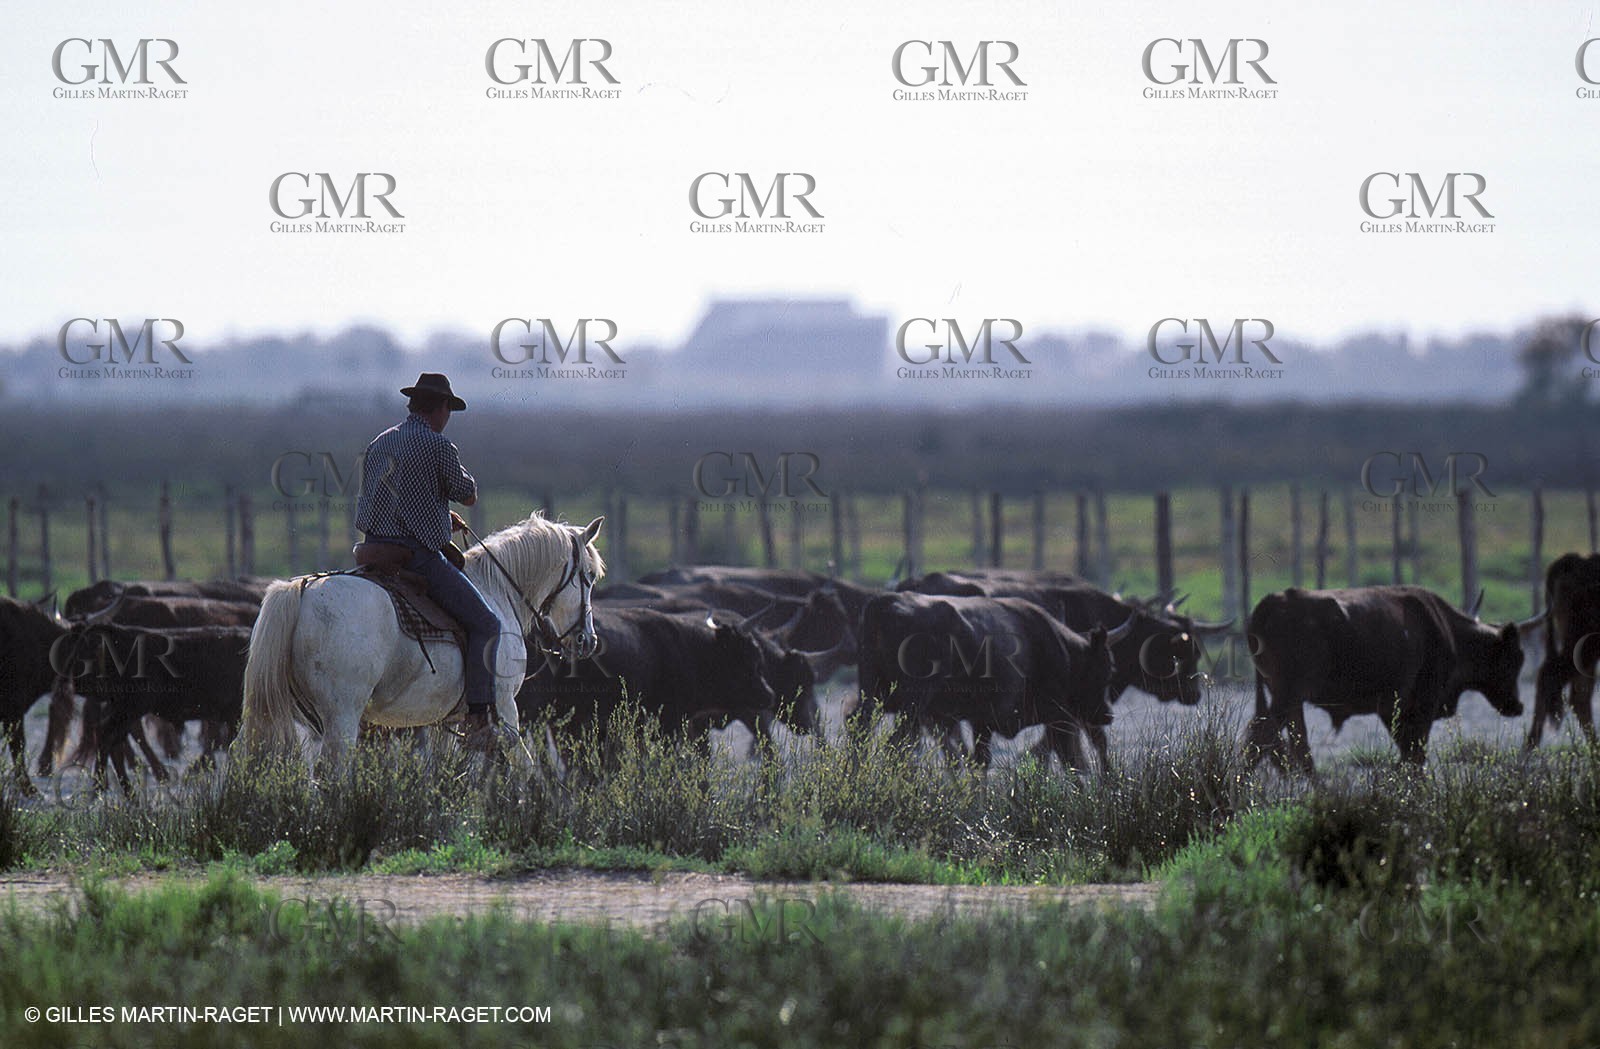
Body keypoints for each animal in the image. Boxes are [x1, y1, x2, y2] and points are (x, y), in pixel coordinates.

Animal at [854, 591, 1122, 772]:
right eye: (1107, 670)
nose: (1108, 715)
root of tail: (885, 603)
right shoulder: (1058, 716)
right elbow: (1069, 761)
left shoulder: (981, 721)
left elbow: (980, 761)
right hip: (911, 706)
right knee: (897, 745)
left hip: (871, 696)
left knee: (862, 734)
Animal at [1244, 585, 1526, 772]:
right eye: (1514, 658)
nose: (1518, 706)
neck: (1448, 631)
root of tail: (1273, 602)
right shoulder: (1423, 704)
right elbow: (1415, 753)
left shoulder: (1391, 709)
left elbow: (1408, 752)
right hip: (1287, 695)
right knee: (1263, 739)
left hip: (1289, 700)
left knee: (1296, 748)